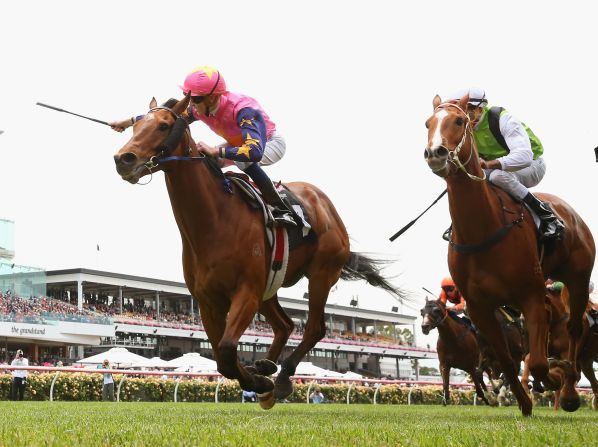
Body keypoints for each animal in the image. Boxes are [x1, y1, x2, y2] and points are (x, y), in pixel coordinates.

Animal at [113, 97, 406, 410]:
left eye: (164, 125)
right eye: (135, 125)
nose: (123, 159)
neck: (214, 222)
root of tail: (325, 205)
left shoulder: (247, 291)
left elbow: (227, 349)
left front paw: (261, 383)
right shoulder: (208, 301)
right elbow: (221, 359)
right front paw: (258, 379)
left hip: (321, 274)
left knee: (313, 328)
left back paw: (283, 376)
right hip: (271, 285)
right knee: (286, 325)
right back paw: (267, 366)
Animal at [424, 94, 596, 416]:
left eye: (459, 121)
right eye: (428, 123)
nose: (435, 153)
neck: (482, 231)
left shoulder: (531, 294)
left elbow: (538, 362)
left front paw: (554, 380)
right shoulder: (480, 307)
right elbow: (504, 361)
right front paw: (523, 402)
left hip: (578, 278)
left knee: (575, 329)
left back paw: (568, 391)